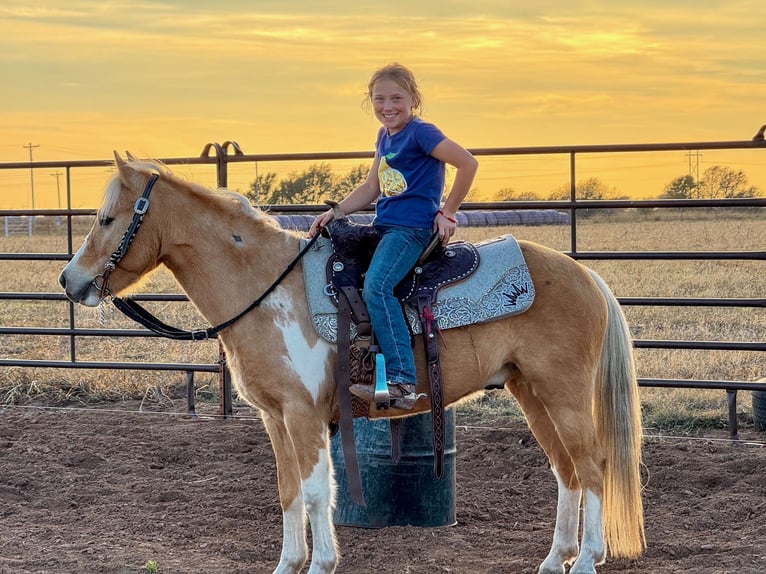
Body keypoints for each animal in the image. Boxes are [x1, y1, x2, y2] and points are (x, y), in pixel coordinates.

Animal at [59, 153, 645, 574]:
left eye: (107, 218)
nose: (70, 280)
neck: (267, 287)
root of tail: (585, 275)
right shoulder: (274, 417)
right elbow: (289, 490)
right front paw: (289, 564)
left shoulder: (304, 414)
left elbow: (319, 490)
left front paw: (321, 564)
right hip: (532, 393)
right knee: (567, 470)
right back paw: (555, 559)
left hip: (564, 393)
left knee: (593, 466)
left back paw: (587, 561)